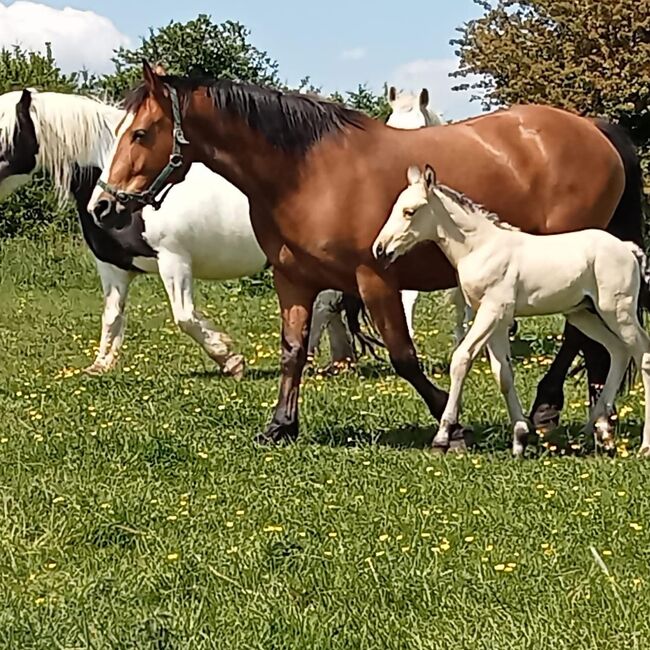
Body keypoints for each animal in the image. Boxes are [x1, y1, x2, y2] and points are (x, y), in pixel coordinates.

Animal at [0, 88, 371, 377]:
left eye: (4, 137)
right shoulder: (113, 268)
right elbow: (112, 316)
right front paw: (101, 365)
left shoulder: (174, 260)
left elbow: (184, 317)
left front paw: (229, 358)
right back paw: (338, 362)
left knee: (324, 306)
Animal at [373, 164, 650, 457]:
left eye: (409, 211)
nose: (380, 249)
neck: (481, 247)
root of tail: (628, 248)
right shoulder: (497, 319)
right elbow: (503, 374)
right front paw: (519, 439)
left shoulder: (491, 311)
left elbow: (461, 359)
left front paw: (442, 436)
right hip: (583, 314)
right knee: (618, 350)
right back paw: (601, 430)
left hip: (617, 311)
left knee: (642, 354)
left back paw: (643, 445)